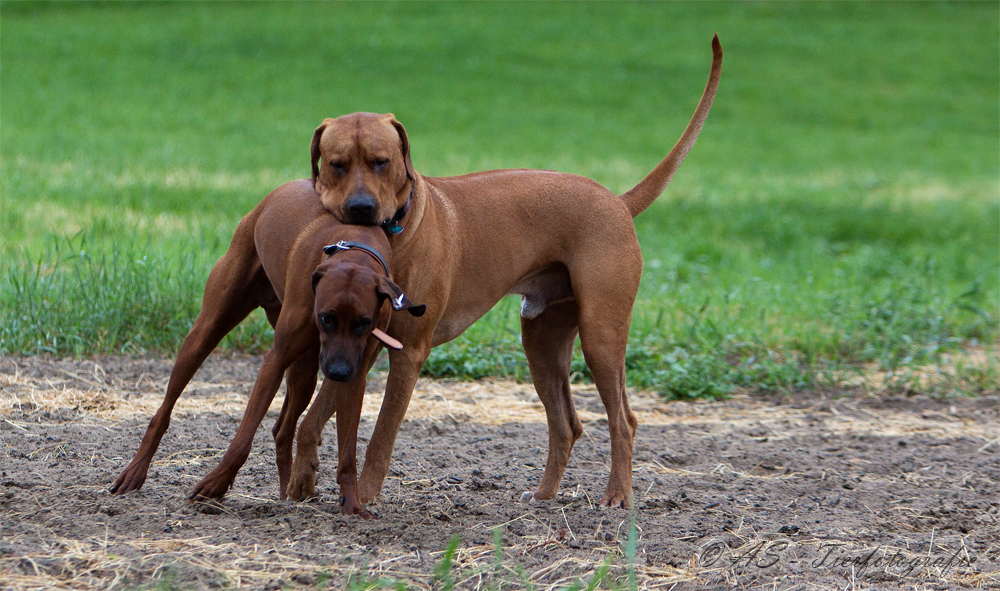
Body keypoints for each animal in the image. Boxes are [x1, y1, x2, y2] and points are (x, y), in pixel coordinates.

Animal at [111, 182, 424, 504]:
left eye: (363, 322)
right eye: (326, 318)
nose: (337, 371)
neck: (357, 250)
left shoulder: (354, 370)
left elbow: (347, 450)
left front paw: (352, 502)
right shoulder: (276, 358)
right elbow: (242, 439)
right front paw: (216, 484)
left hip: (304, 371)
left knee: (283, 429)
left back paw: (287, 490)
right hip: (204, 333)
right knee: (164, 410)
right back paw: (135, 471)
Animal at [278, 34, 724, 512]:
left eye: (381, 161)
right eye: (336, 163)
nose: (361, 208)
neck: (394, 236)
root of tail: (617, 202)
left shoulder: (408, 352)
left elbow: (381, 436)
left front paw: (365, 493)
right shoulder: (355, 343)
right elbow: (313, 416)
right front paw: (302, 477)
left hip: (601, 334)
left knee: (624, 418)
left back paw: (617, 495)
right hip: (542, 341)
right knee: (567, 424)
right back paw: (545, 495)